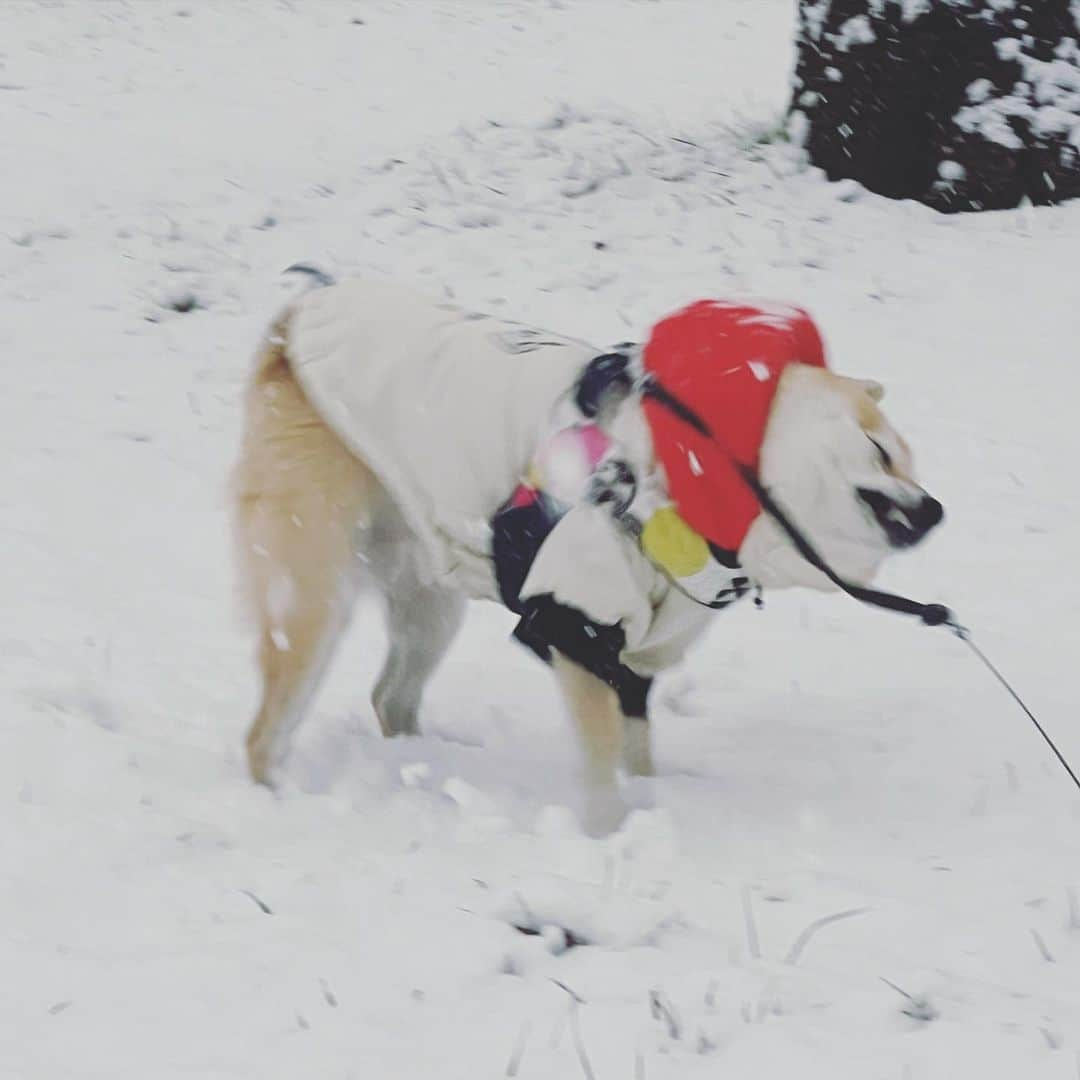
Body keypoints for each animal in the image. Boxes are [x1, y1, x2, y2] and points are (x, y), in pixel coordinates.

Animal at [232, 274, 941, 829]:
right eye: (880, 451)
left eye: (910, 461)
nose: (935, 509)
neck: (703, 458)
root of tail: (293, 323)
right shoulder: (574, 623)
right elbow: (602, 770)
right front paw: (614, 838)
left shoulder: (636, 658)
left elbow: (637, 751)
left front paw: (650, 802)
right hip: (312, 599)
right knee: (266, 729)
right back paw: (276, 800)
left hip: (428, 600)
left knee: (389, 698)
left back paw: (427, 765)